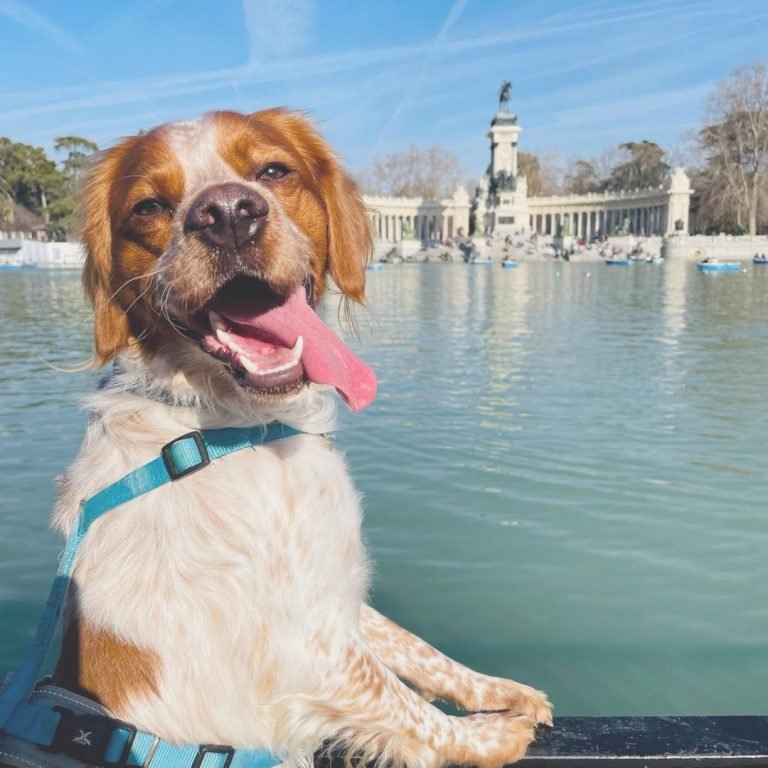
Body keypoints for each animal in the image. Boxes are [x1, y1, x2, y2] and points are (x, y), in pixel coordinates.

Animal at [48, 108, 548, 768]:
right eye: (149, 205)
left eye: (273, 171)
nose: (227, 213)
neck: (223, 428)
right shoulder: (307, 654)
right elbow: (412, 712)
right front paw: (494, 736)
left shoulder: (332, 593)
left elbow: (418, 649)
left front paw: (501, 692)